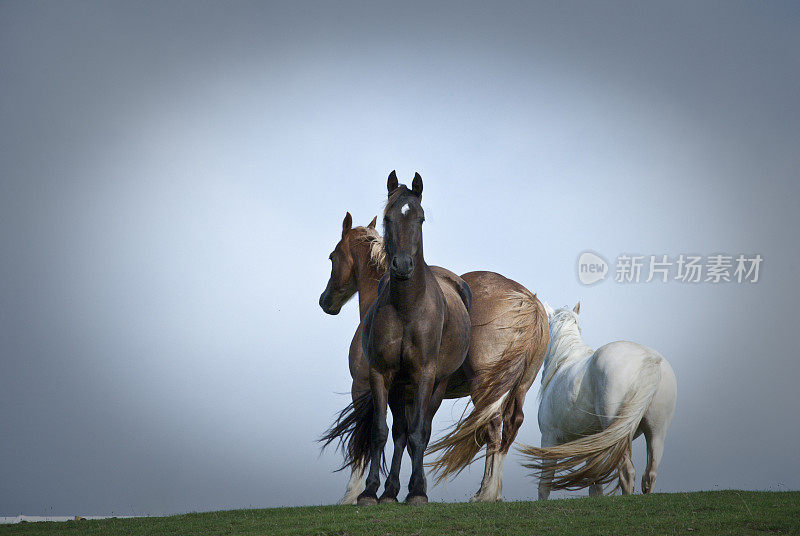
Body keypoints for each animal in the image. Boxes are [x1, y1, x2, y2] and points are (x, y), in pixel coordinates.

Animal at [318, 173, 552, 502]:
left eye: (332, 256)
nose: (326, 301)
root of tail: (528, 301)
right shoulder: (402, 387)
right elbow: (401, 434)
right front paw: (391, 490)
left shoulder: (364, 384)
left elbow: (368, 438)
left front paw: (354, 494)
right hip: (519, 386)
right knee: (508, 426)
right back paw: (490, 491)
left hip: (485, 386)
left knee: (491, 426)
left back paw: (486, 493)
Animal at [520, 302, 676, 498]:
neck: (565, 360)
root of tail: (649, 359)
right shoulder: (591, 443)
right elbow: (595, 484)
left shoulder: (548, 437)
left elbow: (545, 483)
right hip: (656, 431)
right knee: (650, 473)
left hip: (618, 433)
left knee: (627, 471)